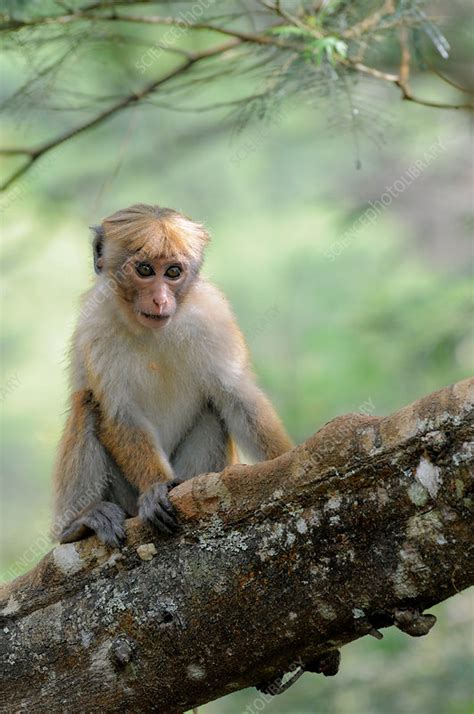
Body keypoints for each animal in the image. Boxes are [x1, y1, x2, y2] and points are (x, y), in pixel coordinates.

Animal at [53, 203, 294, 548]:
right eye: (144, 270)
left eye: (172, 272)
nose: (160, 299)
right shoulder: (95, 324)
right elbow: (119, 413)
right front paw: (155, 489)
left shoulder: (212, 316)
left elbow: (236, 395)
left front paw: (285, 459)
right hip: (125, 500)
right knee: (86, 403)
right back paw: (77, 524)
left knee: (213, 410)